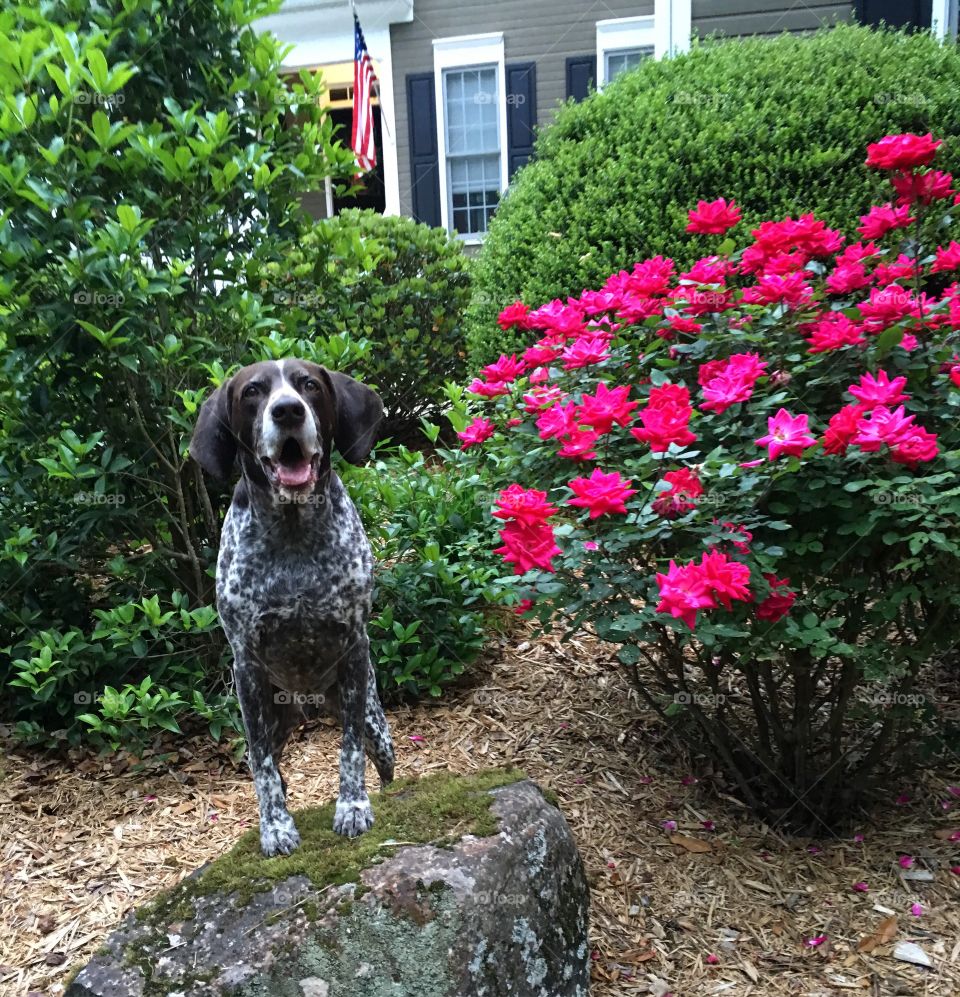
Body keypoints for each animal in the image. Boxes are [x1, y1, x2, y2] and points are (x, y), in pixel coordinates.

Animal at [191, 360, 394, 856]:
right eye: (252, 392)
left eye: (309, 385)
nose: (287, 410)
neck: (292, 533)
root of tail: (307, 702)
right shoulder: (246, 666)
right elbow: (264, 770)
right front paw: (276, 828)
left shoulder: (354, 649)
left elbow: (349, 750)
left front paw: (353, 807)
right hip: (272, 716)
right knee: (269, 764)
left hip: (374, 721)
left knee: (382, 762)